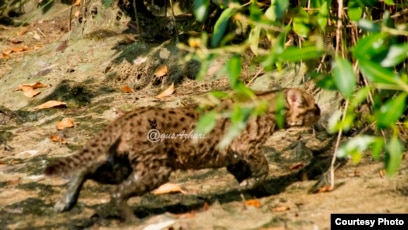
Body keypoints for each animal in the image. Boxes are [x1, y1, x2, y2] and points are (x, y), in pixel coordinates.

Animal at [43, 87, 318, 221]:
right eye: (314, 106)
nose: (322, 111)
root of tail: (125, 117)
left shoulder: (233, 157)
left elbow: (246, 173)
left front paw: (256, 191)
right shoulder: (244, 147)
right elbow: (263, 166)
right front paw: (255, 185)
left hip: (123, 165)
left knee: (85, 169)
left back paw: (65, 202)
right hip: (156, 170)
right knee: (116, 193)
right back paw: (134, 221)